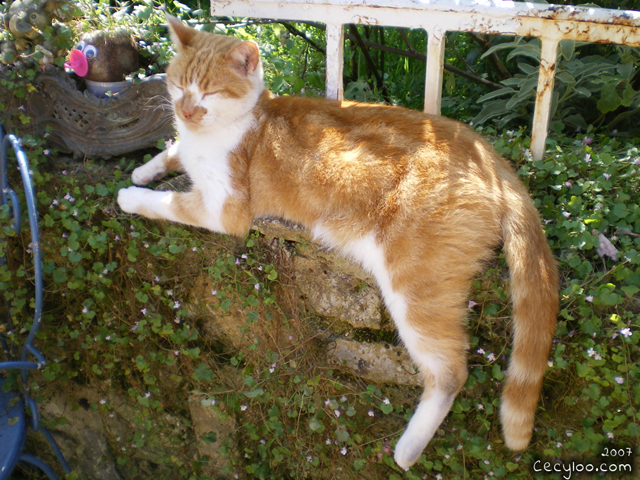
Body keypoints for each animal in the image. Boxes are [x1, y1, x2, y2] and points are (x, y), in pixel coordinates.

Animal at [117, 14, 556, 468]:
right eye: (177, 84)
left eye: (209, 92)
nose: (185, 111)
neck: (241, 121)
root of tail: (490, 155)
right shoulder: (186, 148)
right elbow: (171, 151)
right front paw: (144, 169)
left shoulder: (223, 209)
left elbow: (167, 202)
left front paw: (130, 195)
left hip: (415, 288)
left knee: (451, 372)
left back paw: (407, 449)